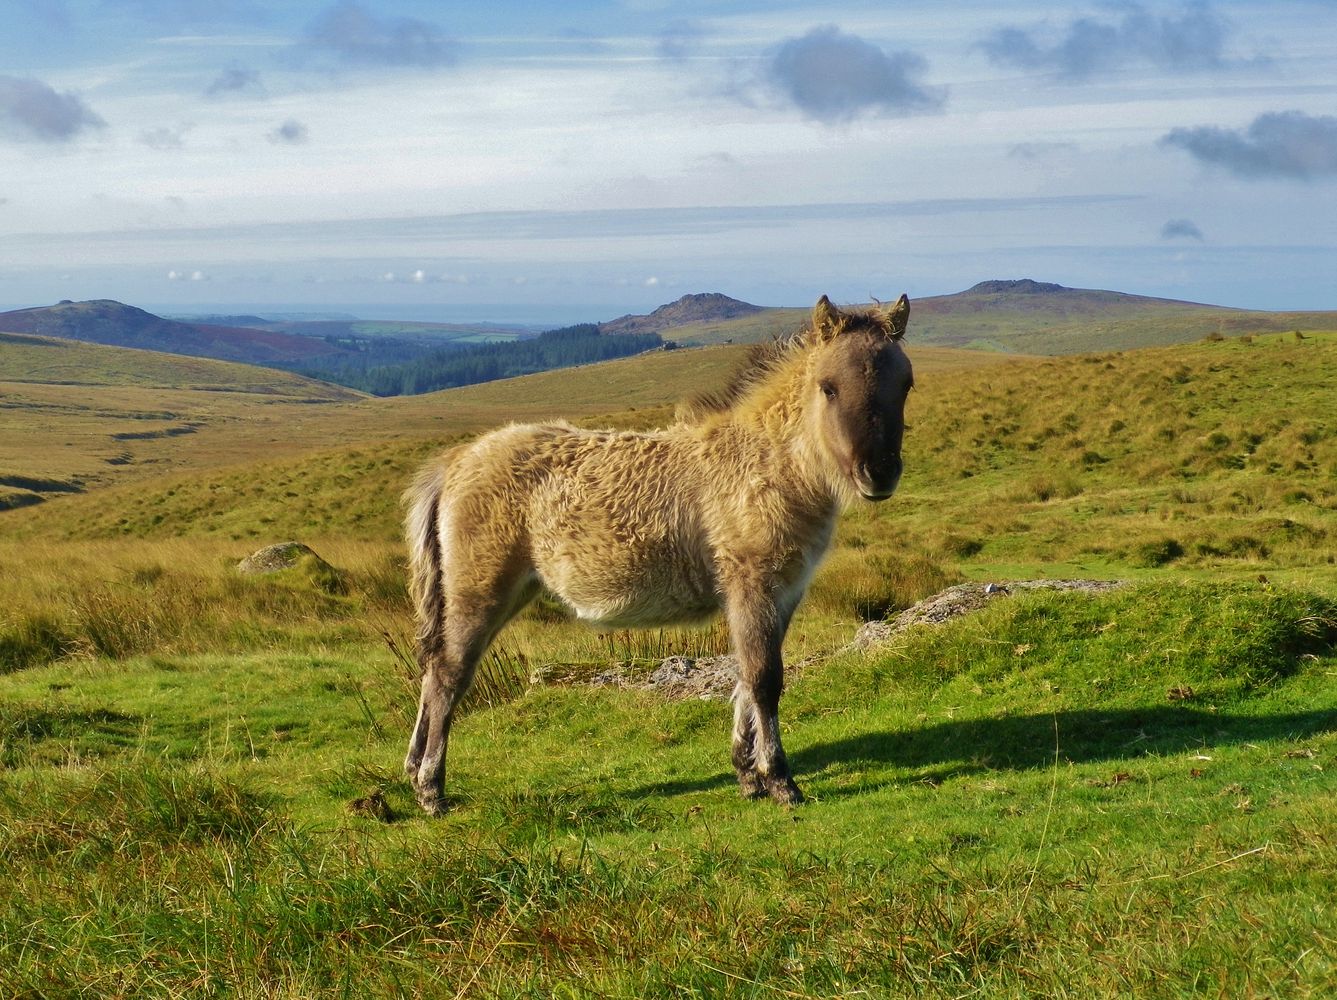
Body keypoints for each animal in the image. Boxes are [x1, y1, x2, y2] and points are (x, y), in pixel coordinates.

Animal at [401, 288, 914, 812]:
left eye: (906, 385)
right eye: (828, 387)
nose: (879, 473)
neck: (764, 462)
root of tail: (456, 461)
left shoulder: (782, 594)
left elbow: (747, 677)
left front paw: (747, 773)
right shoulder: (752, 586)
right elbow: (764, 679)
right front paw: (779, 780)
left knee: (435, 669)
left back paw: (414, 771)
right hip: (480, 591)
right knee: (448, 673)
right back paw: (431, 788)